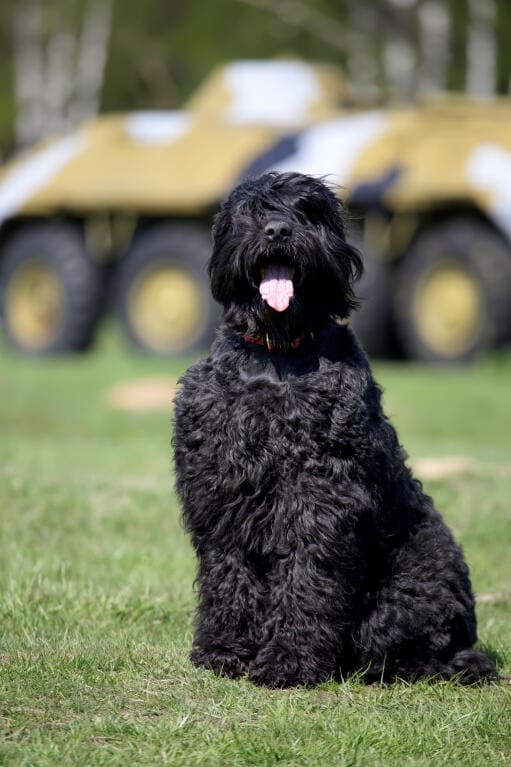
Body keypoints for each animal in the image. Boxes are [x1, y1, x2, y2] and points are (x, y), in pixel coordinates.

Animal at [172, 174, 496, 688]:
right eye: (253, 211)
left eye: (309, 211)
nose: (278, 230)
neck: (278, 356)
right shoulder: (220, 488)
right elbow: (228, 572)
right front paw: (224, 650)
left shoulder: (319, 494)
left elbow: (307, 575)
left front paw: (289, 659)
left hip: (406, 591)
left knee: (416, 650)